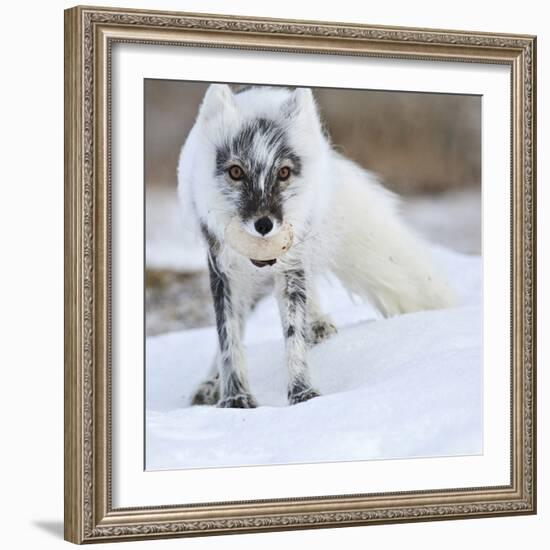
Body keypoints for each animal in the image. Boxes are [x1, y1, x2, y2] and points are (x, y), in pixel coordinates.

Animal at [178, 83, 458, 410]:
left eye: (283, 173)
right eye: (236, 172)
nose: (264, 224)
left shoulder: (291, 264)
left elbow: (293, 334)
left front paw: (302, 393)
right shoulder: (223, 269)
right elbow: (229, 339)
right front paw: (235, 399)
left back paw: (317, 325)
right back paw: (211, 384)